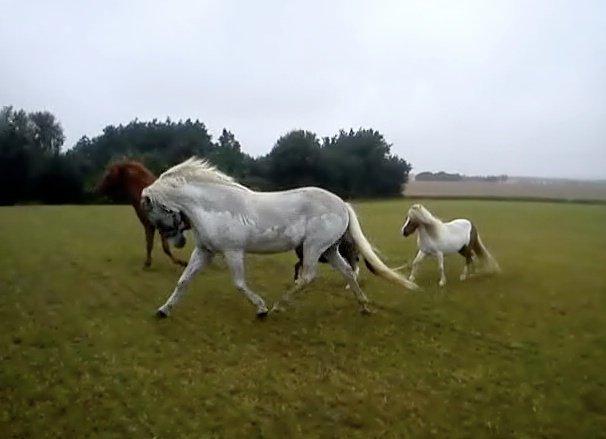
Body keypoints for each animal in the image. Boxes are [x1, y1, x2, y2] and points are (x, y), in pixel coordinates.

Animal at [141, 158, 420, 320]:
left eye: (152, 211)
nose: (177, 242)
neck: (215, 206)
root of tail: (342, 203)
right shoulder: (204, 251)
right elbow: (183, 281)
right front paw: (163, 310)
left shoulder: (233, 251)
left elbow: (239, 283)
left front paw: (261, 309)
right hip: (329, 249)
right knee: (348, 272)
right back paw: (363, 306)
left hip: (313, 247)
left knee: (307, 276)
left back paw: (278, 306)